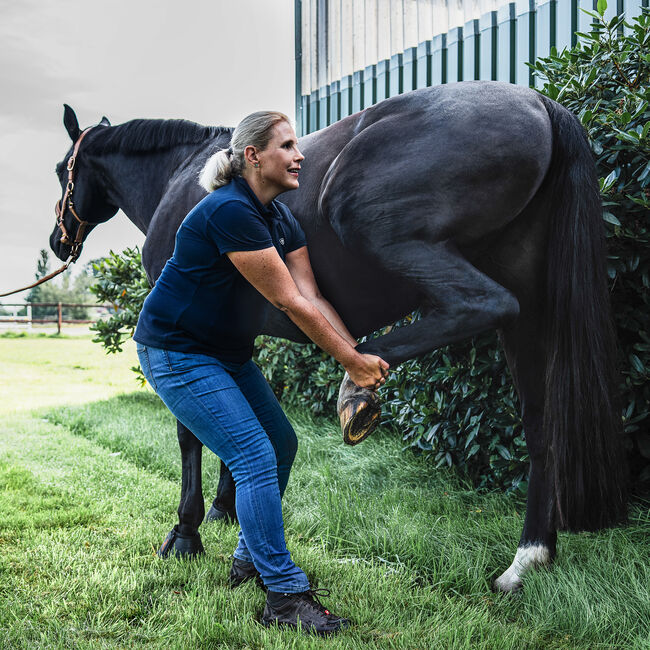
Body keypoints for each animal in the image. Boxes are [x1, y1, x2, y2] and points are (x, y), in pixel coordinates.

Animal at [48, 79, 624, 588]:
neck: (186, 179)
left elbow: (191, 432)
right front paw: (224, 509)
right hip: (531, 312)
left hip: (370, 222)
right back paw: (527, 558)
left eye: (60, 171)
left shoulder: (189, 334)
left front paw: (187, 534)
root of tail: (541, 104)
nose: (59, 241)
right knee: (541, 423)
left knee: (485, 304)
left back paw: (358, 386)